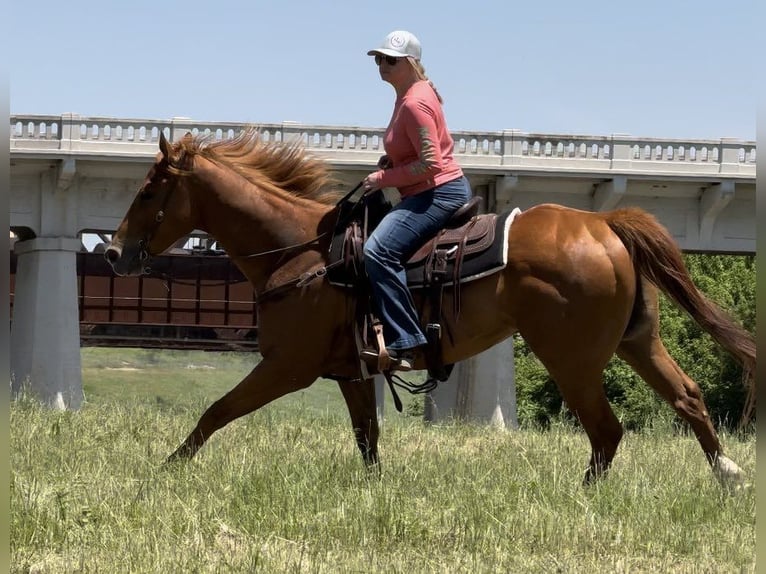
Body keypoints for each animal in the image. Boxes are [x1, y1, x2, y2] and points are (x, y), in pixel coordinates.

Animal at [105, 129, 760, 486]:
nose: (112, 253)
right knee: (688, 397)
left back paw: (583, 497)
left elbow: (215, 412)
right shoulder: (351, 373)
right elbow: (367, 439)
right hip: (636, 341)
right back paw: (727, 476)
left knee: (607, 430)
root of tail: (603, 221)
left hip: (571, 359)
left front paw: (165, 471)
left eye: (149, 190)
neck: (302, 252)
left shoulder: (286, 367)